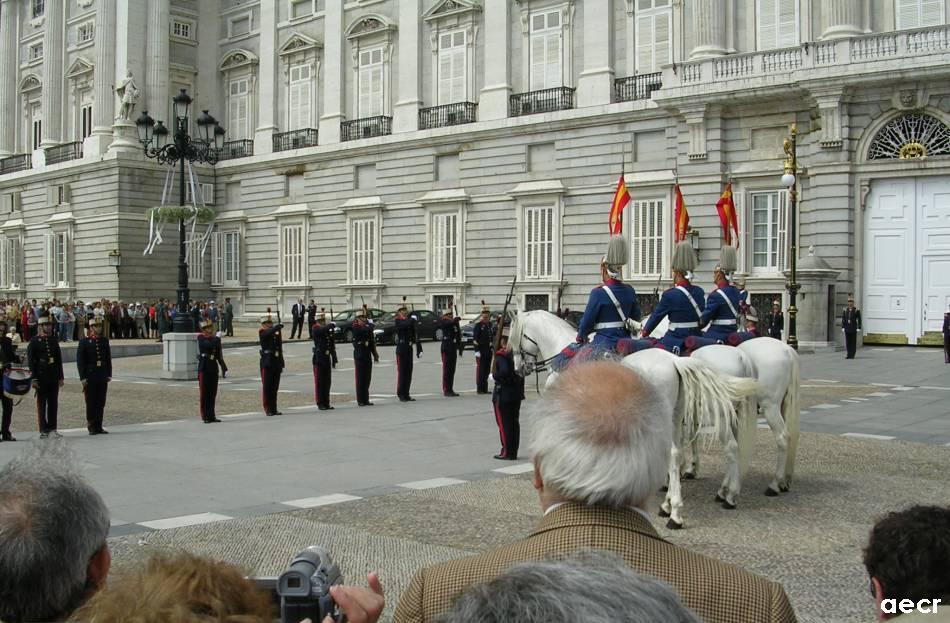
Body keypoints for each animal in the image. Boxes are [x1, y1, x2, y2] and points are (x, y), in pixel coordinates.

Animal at [510, 310, 764, 528]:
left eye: (514, 338)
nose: (519, 368)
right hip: (684, 414)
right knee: (686, 452)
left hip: (714, 412)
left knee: (727, 447)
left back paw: (697, 505)